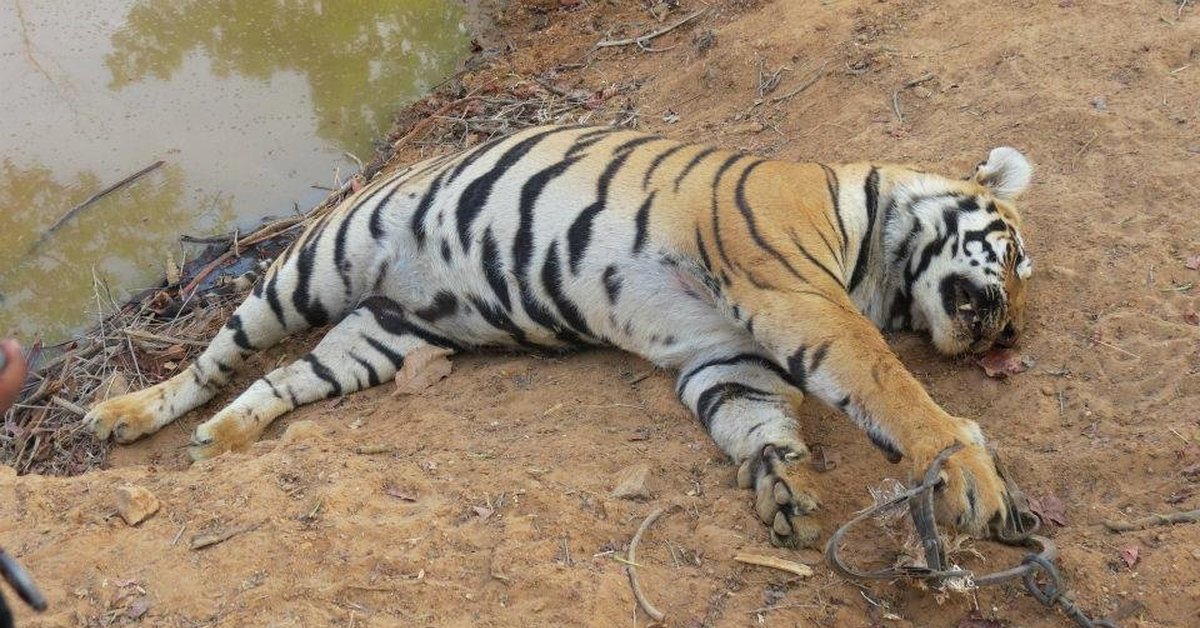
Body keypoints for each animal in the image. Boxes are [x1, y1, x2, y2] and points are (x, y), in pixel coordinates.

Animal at [87, 124, 1032, 549]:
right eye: (1017, 257)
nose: (1006, 336)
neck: (873, 260)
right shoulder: (793, 294)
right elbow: (886, 385)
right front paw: (969, 472)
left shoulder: (723, 354)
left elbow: (757, 422)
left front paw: (786, 489)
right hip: (310, 269)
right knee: (216, 357)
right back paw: (126, 414)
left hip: (380, 338)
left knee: (277, 382)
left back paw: (223, 437)